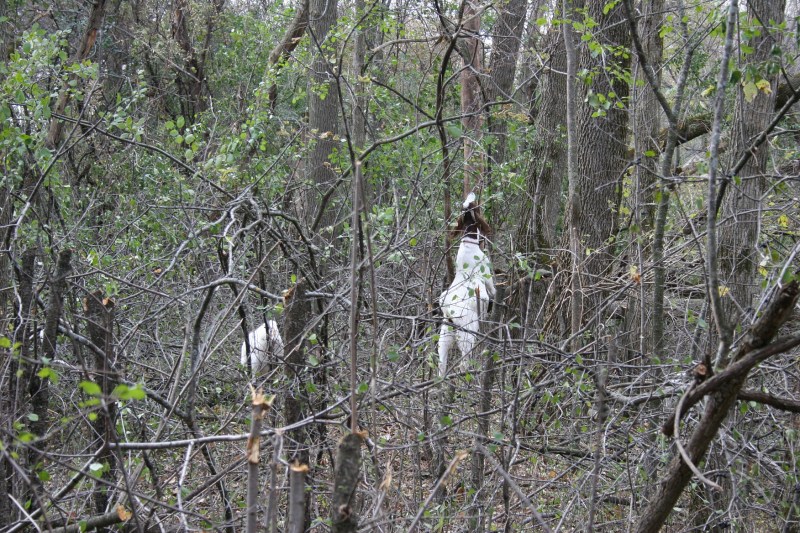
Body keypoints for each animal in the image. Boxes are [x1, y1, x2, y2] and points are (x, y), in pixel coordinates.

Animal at [437, 193, 496, 376]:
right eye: (474, 205)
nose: (471, 194)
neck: (469, 243)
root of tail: (448, 312)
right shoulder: (489, 282)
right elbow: (494, 293)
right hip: (467, 336)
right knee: (464, 364)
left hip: (444, 338)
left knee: (441, 366)